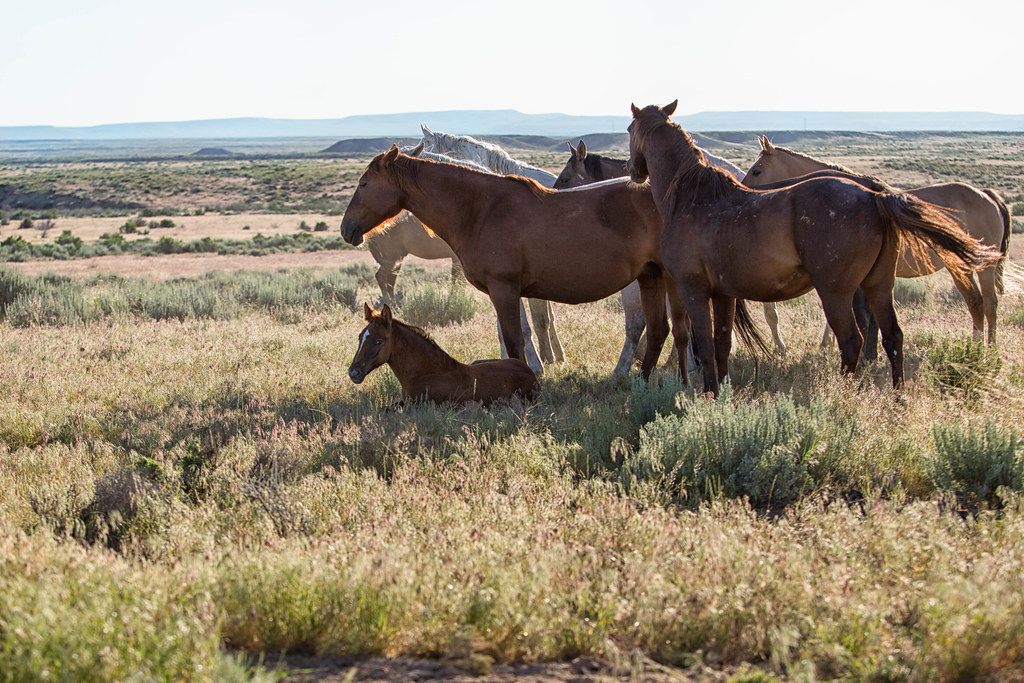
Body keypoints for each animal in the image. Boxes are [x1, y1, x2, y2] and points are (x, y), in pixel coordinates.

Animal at [742, 136, 1011, 344]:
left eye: (757, 170)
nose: (743, 190)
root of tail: (986, 195)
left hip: (976, 268)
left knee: (984, 304)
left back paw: (984, 349)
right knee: (985, 305)